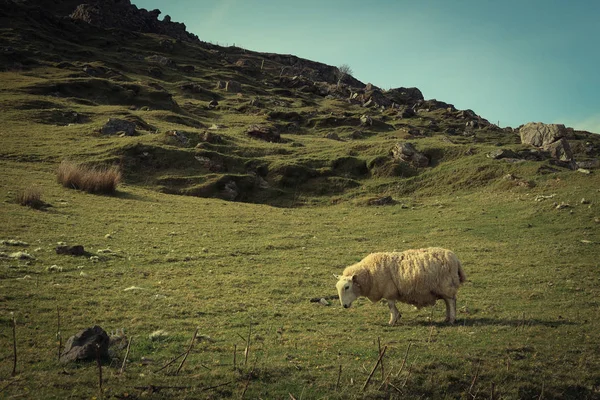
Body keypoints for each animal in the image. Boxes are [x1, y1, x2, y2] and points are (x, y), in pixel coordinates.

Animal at [336, 247, 466, 324]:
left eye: (347, 287)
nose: (344, 306)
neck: (368, 273)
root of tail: (454, 258)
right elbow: (392, 307)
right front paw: (397, 317)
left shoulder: (389, 291)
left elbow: (390, 306)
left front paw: (392, 320)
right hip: (444, 287)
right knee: (448, 301)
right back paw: (447, 318)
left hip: (446, 285)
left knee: (451, 302)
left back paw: (451, 319)